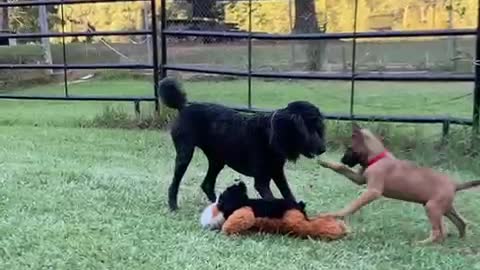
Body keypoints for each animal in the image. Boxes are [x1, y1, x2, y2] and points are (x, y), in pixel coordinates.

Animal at [159, 78, 328, 211]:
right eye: (307, 129)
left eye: (319, 128)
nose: (323, 149)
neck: (270, 134)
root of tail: (183, 107)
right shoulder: (261, 181)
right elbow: (272, 199)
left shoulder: (277, 173)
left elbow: (288, 194)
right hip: (185, 154)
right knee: (175, 184)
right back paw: (173, 206)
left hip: (217, 160)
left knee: (207, 184)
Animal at [318, 123, 480, 244]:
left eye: (349, 148)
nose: (342, 159)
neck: (378, 158)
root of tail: (455, 184)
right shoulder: (360, 179)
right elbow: (341, 169)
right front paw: (325, 162)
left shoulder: (373, 191)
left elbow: (353, 204)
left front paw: (336, 214)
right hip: (444, 208)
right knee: (460, 222)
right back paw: (461, 239)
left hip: (433, 207)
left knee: (439, 231)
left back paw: (422, 243)